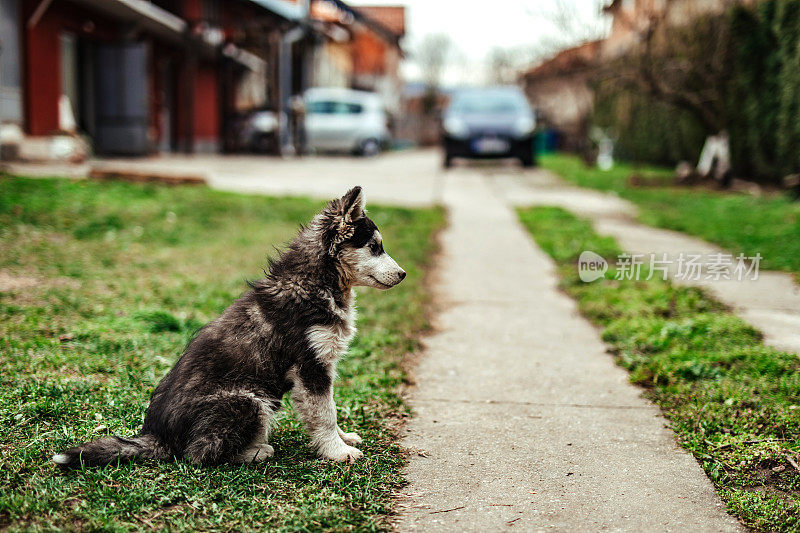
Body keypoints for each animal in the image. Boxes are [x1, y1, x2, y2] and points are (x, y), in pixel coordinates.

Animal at [54, 187, 406, 466]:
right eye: (375, 247)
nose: (403, 275)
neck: (313, 284)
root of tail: (157, 436)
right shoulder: (310, 366)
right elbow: (324, 413)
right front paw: (337, 451)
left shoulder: (319, 368)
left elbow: (327, 408)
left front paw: (344, 438)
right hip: (249, 400)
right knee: (197, 454)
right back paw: (255, 452)